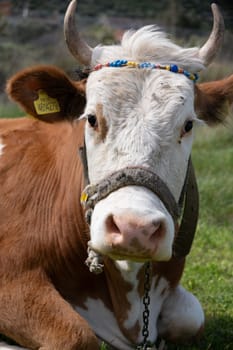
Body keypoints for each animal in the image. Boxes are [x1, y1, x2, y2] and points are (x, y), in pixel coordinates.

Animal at [0, 0, 233, 348]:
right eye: (92, 118)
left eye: (188, 124)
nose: (134, 228)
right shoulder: (11, 272)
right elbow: (76, 334)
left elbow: (191, 317)